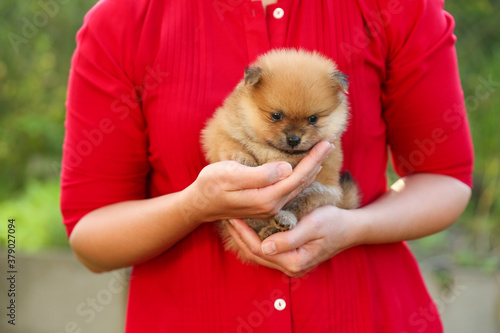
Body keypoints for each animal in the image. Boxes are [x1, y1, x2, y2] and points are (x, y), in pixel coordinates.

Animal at [201, 48, 362, 256]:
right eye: (276, 116)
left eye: (313, 119)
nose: (294, 139)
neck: (275, 151)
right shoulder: (219, 132)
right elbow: (232, 146)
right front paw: (246, 161)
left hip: (320, 193)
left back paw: (278, 225)